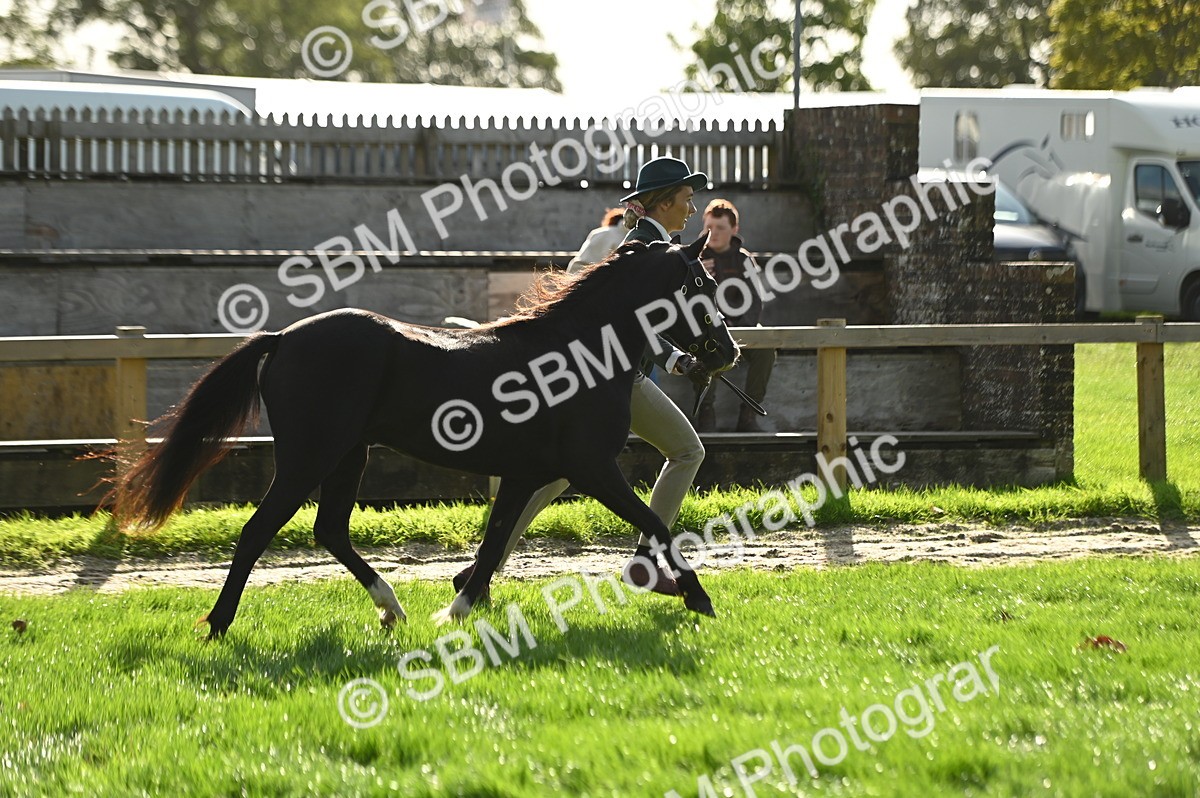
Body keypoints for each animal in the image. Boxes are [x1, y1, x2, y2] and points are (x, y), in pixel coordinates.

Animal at [112, 233, 739, 638]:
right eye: (703, 283)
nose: (724, 352)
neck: (579, 353)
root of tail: (284, 337)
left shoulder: (525, 474)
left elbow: (492, 545)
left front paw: (457, 610)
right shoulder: (592, 467)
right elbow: (657, 523)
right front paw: (699, 598)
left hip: (349, 456)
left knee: (329, 529)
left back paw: (391, 609)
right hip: (309, 458)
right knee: (257, 530)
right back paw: (219, 626)